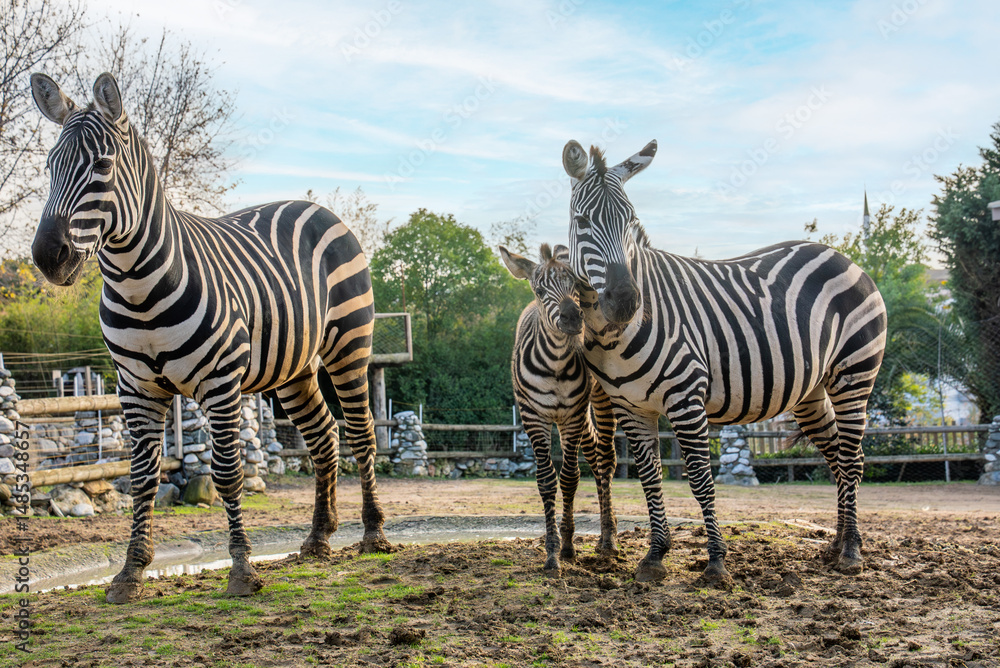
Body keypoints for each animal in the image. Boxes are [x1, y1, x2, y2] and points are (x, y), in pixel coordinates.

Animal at [30, 72, 391, 603]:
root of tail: (315, 206)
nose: (46, 256)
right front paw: (130, 572)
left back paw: (372, 533)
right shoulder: (134, 388)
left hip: (348, 344)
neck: (137, 287)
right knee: (324, 435)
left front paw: (241, 569)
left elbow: (226, 473)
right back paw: (318, 538)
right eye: (50, 166)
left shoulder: (221, 382)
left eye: (102, 165)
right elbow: (142, 477)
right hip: (294, 368)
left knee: (361, 432)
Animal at [500, 243, 618, 574]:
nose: (573, 318)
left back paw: (608, 539)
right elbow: (546, 479)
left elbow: (569, 478)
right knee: (595, 453)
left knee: (606, 459)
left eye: (575, 286)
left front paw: (566, 546)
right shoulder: (533, 417)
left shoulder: (571, 416)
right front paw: (552, 552)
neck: (554, 364)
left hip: (600, 399)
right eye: (540, 291)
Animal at [561, 139, 887, 583]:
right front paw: (655, 556)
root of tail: (842, 255)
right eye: (582, 222)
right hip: (811, 393)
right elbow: (650, 477)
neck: (612, 336)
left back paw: (852, 550)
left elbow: (701, 479)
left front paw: (715, 561)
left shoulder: (685, 398)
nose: (626, 302)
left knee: (853, 458)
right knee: (838, 455)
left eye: (630, 221)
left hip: (854, 375)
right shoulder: (631, 406)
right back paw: (837, 544)